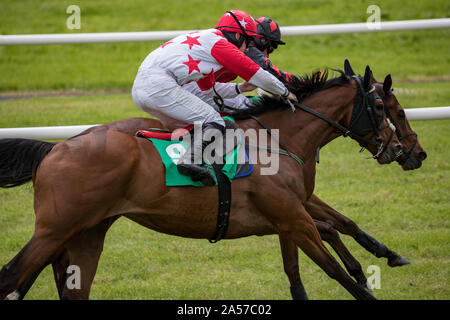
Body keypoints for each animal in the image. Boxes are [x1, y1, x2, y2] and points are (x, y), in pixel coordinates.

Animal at [0, 65, 400, 300]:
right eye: (383, 107)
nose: (398, 147)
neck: (277, 140)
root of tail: (54, 148)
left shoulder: (288, 218)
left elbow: (316, 251)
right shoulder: (293, 218)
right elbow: (332, 266)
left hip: (85, 234)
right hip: (55, 229)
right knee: (11, 277)